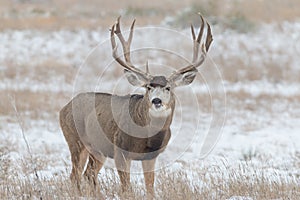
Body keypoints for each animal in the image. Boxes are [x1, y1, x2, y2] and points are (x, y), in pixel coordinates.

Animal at [59, 14, 213, 196]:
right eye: (148, 87)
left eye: (168, 88)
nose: (156, 100)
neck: (146, 135)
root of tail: (64, 108)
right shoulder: (120, 150)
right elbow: (127, 188)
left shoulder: (151, 156)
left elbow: (150, 187)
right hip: (75, 140)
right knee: (75, 175)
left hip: (97, 150)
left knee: (88, 174)